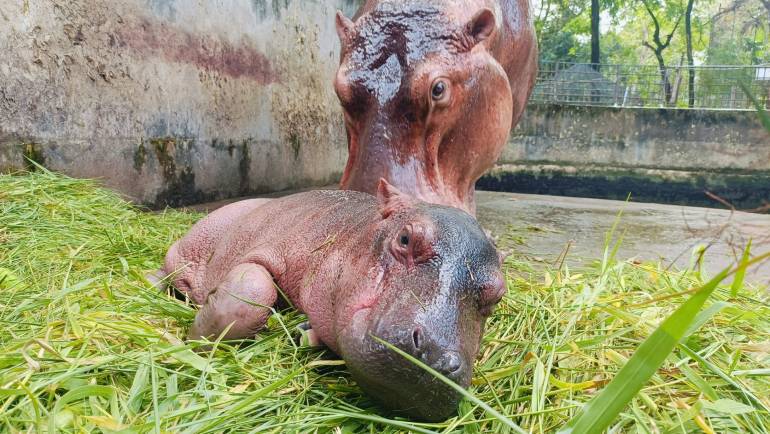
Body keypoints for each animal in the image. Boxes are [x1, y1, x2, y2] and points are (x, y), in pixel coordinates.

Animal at [158, 179, 504, 420]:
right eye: (405, 238)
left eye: (499, 294)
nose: (435, 357)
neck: (355, 232)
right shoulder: (273, 245)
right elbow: (253, 291)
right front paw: (196, 342)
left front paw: (304, 333)